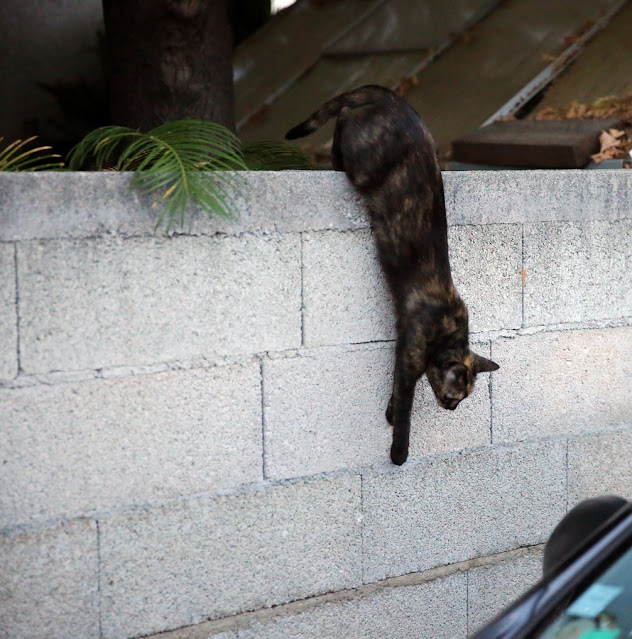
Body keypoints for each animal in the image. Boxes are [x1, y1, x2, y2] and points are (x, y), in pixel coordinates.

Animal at [286, 85, 498, 464]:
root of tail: (393, 99)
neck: (448, 334)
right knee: (343, 121)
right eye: (453, 397)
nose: (452, 410)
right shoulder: (409, 354)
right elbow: (405, 407)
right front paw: (398, 452)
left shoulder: (402, 353)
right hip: (363, 164)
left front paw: (388, 413)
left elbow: (396, 389)